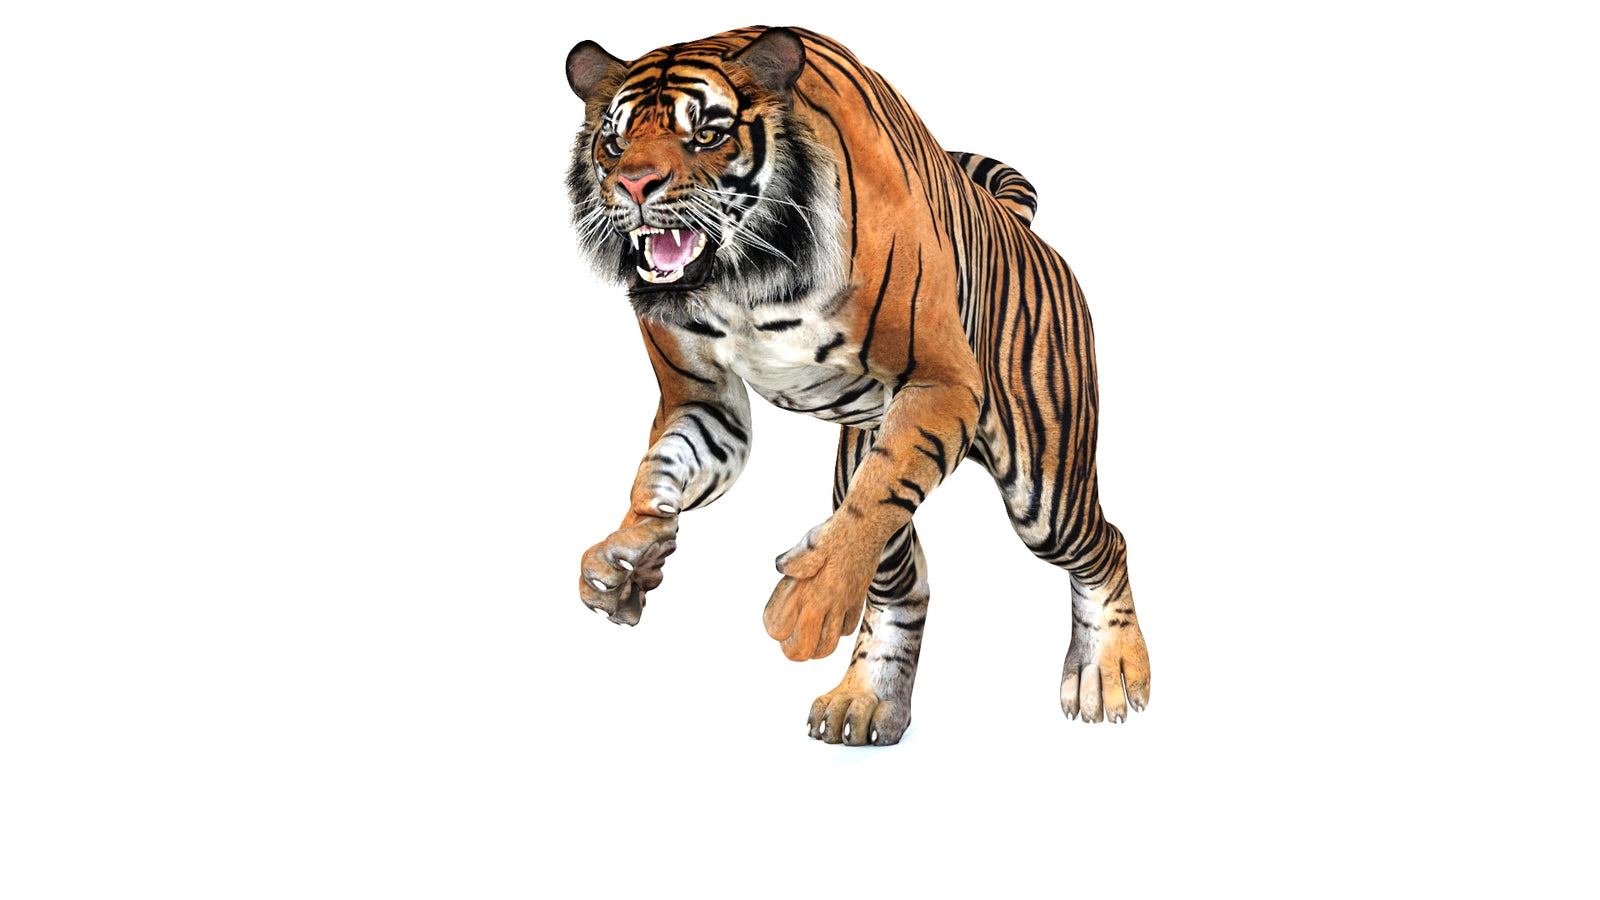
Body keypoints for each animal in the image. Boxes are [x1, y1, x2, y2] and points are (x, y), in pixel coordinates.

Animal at [565, 26, 1151, 745]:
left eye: (705, 134)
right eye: (614, 141)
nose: (632, 185)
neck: (741, 277)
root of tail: (1021, 229)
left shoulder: (941, 383)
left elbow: (874, 503)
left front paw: (809, 601)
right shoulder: (703, 401)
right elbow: (662, 470)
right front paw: (625, 559)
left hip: (1045, 488)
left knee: (1103, 542)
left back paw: (1110, 674)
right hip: (862, 451)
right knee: (903, 582)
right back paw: (864, 700)